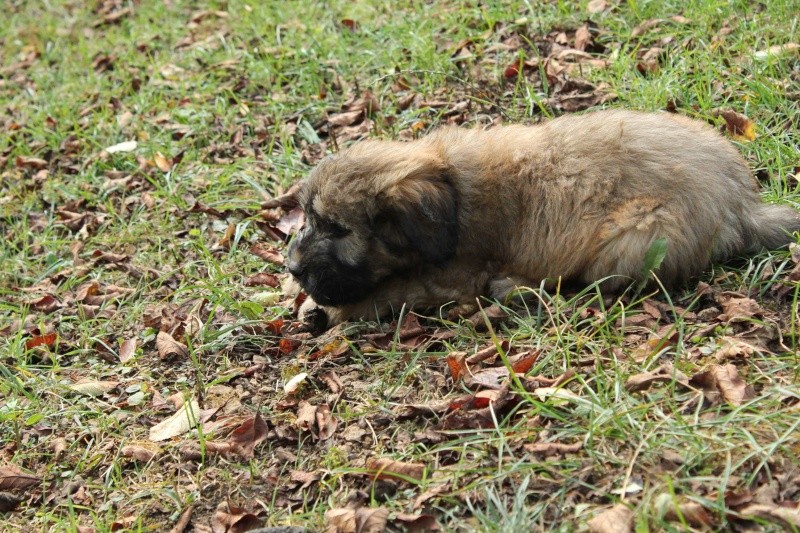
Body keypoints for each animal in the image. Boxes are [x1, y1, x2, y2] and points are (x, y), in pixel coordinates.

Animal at [284, 109, 796, 326]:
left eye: (338, 229)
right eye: (307, 219)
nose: (292, 267)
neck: (451, 184)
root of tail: (743, 205)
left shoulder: (455, 274)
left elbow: (390, 290)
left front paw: (333, 310)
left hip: (637, 234)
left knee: (593, 289)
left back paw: (517, 289)